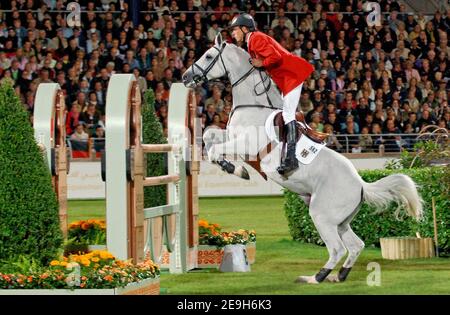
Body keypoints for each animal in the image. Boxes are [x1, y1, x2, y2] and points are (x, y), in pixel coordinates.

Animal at [181, 34, 424, 284]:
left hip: (321, 215)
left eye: (209, 55)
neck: (252, 104)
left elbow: (214, 150)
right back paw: (340, 275)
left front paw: (235, 168)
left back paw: (316, 277)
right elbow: (209, 135)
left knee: (337, 248)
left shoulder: (246, 145)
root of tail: (360, 184)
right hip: (340, 221)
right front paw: (236, 168)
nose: (185, 77)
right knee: (356, 245)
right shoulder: (232, 137)